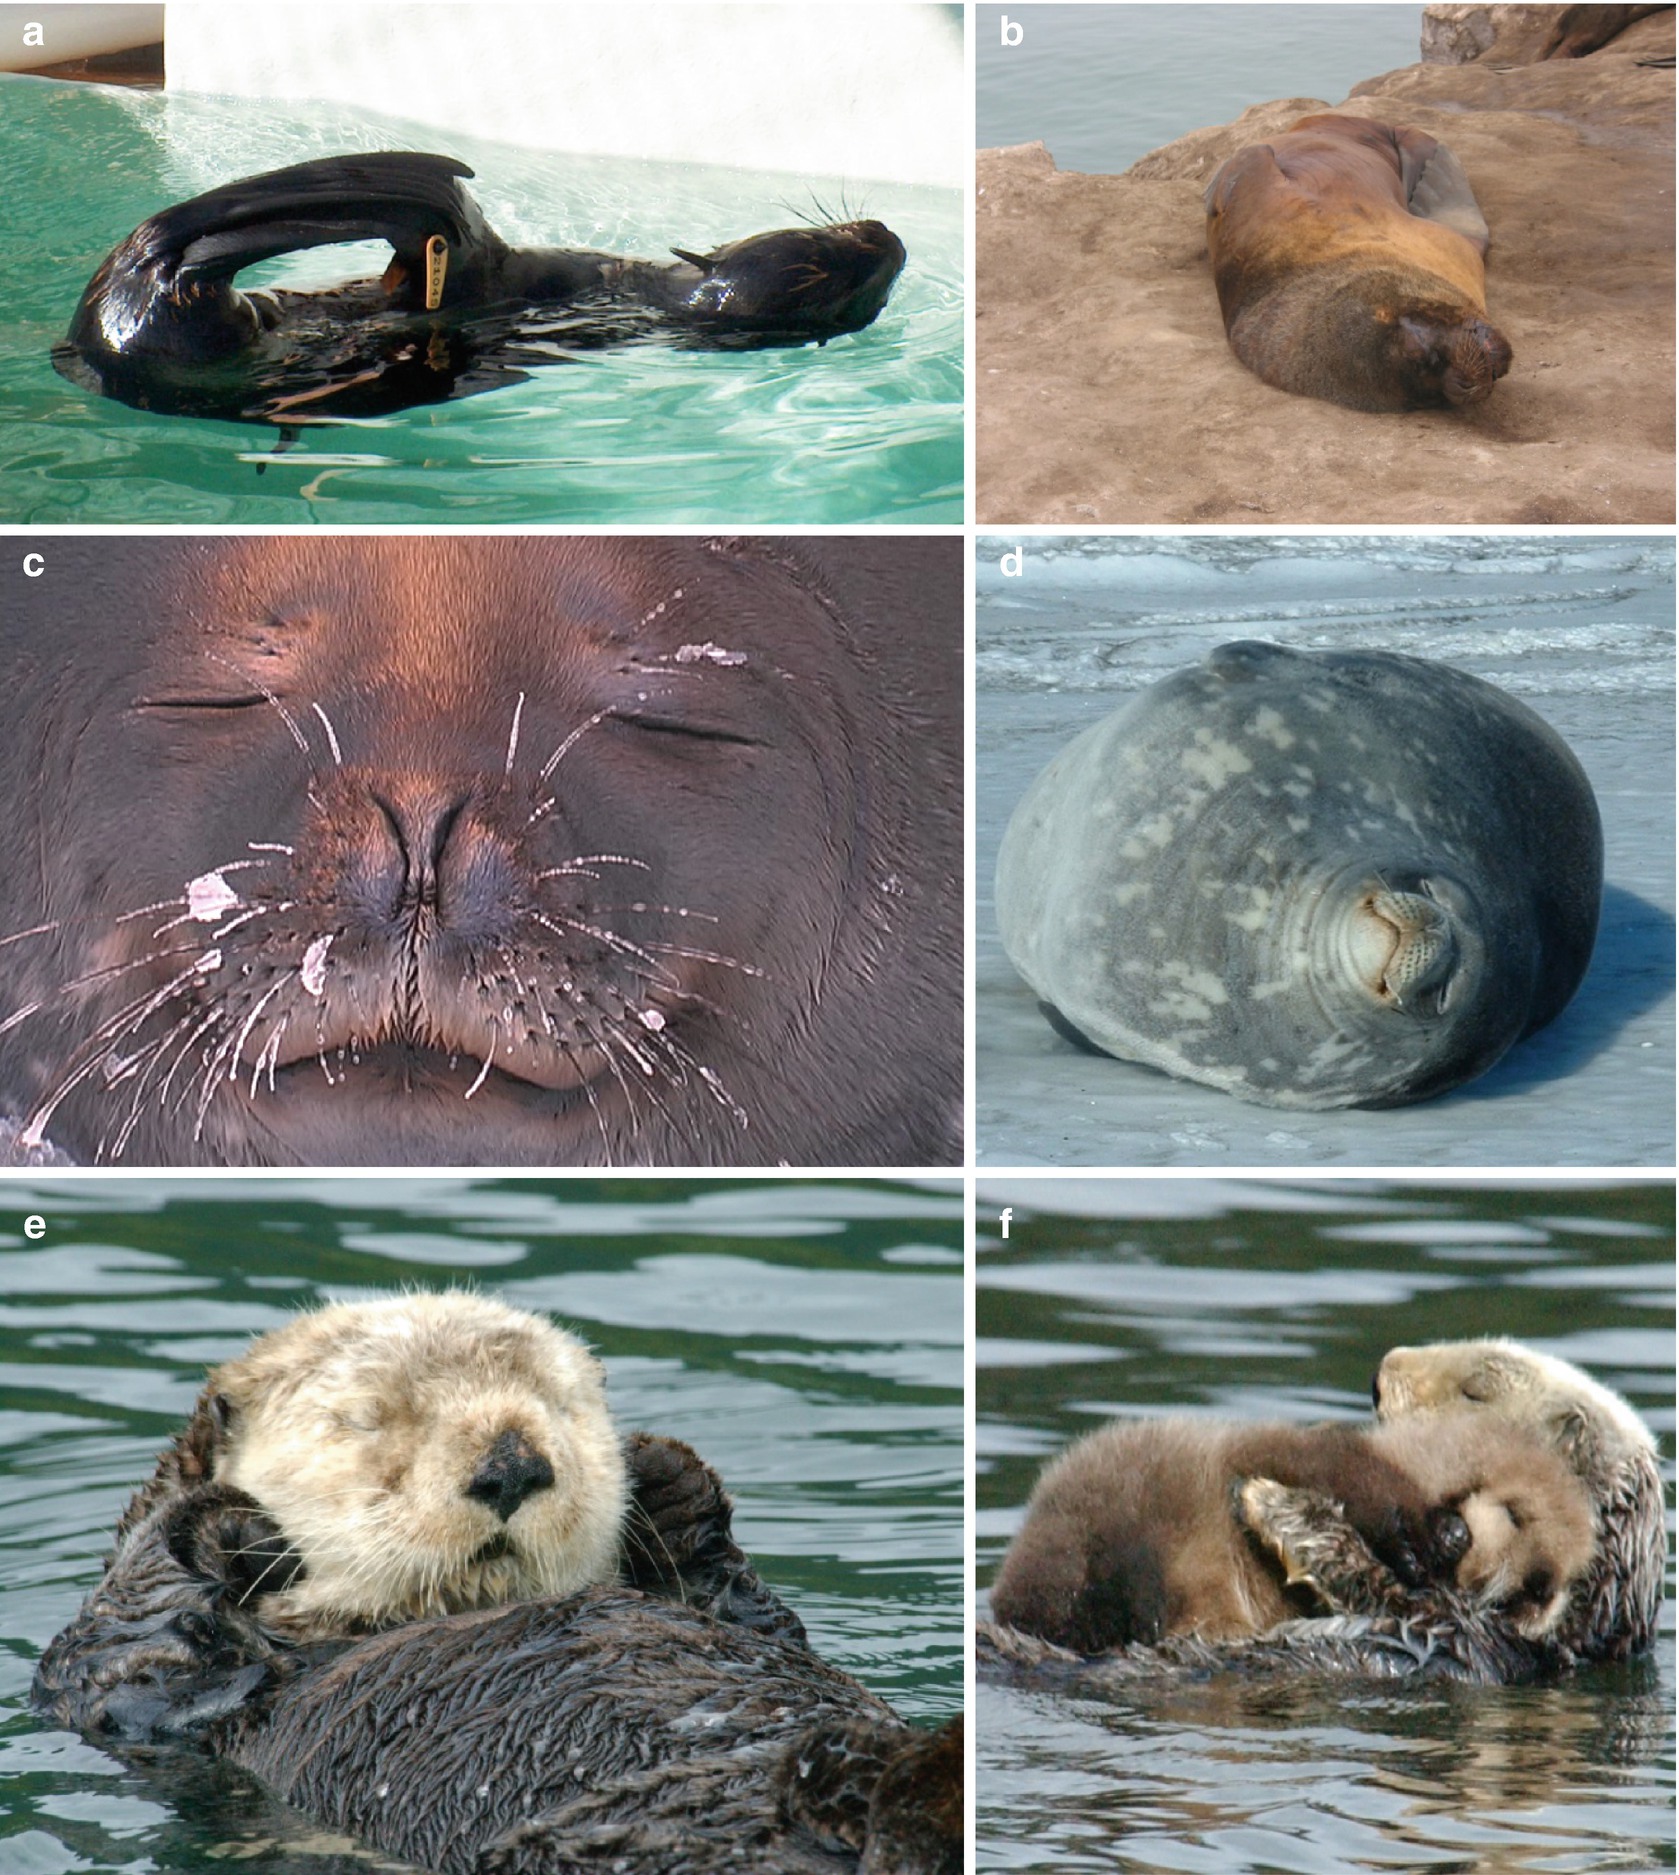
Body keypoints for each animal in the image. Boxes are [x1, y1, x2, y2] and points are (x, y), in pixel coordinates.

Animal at [989, 1411, 1594, 1654]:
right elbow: (1348, 1474)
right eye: (1516, 1514)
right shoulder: (1318, 1455)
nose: (1537, 1590)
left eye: (1555, 1582)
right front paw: (1433, 1538)